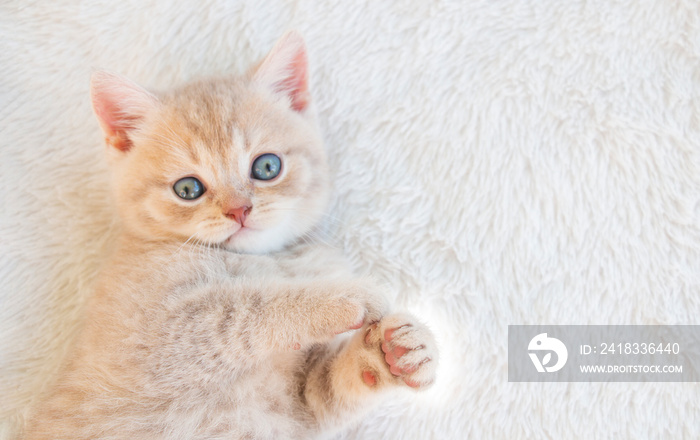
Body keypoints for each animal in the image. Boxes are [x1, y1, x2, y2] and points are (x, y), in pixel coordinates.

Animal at [23, 31, 438, 440]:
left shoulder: (298, 406)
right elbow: (244, 308)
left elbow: (332, 386)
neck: (269, 260)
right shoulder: (156, 334)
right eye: (187, 189)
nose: (239, 210)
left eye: (267, 167)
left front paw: (397, 350)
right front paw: (338, 298)